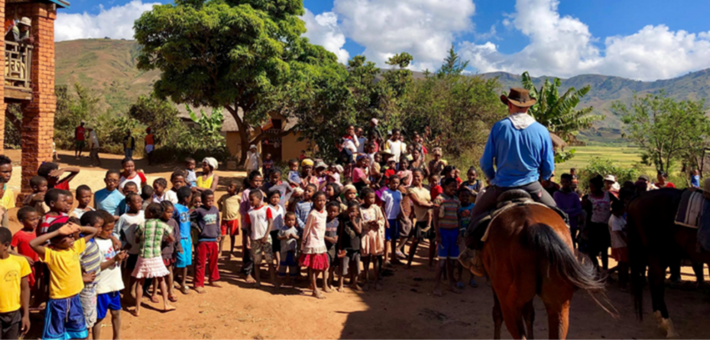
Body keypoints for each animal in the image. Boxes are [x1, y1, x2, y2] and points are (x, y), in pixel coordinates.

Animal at [464, 203, 608, 338]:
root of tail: (531, 224)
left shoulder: (495, 286)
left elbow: (497, 313)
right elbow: (529, 313)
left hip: (509, 305)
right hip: (559, 306)